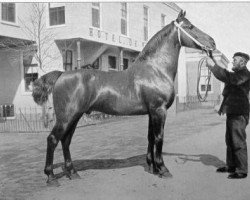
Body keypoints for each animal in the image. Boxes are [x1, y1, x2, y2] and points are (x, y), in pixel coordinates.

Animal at [32, 10, 216, 186]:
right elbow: (159, 138)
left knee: (66, 141)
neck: (156, 69)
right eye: (190, 27)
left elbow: (150, 137)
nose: (212, 43)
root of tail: (62, 74)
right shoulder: (159, 110)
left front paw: (152, 167)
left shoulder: (151, 112)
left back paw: (72, 173)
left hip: (75, 117)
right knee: (53, 139)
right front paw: (163, 169)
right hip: (66, 117)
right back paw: (51, 177)